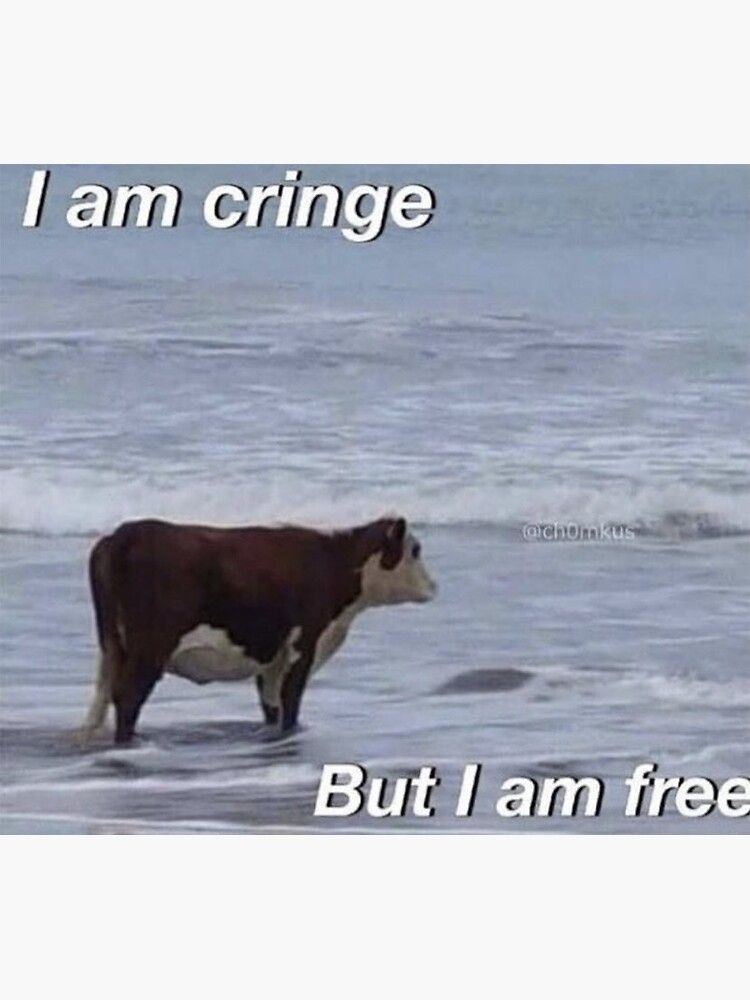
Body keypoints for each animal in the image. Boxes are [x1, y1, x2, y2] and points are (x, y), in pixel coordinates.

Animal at [78, 514, 437, 745]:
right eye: (415, 550)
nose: (434, 586)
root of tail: (122, 535)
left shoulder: (272, 658)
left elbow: (271, 704)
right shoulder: (303, 646)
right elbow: (290, 701)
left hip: (112, 647)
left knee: (103, 697)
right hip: (150, 648)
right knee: (128, 698)